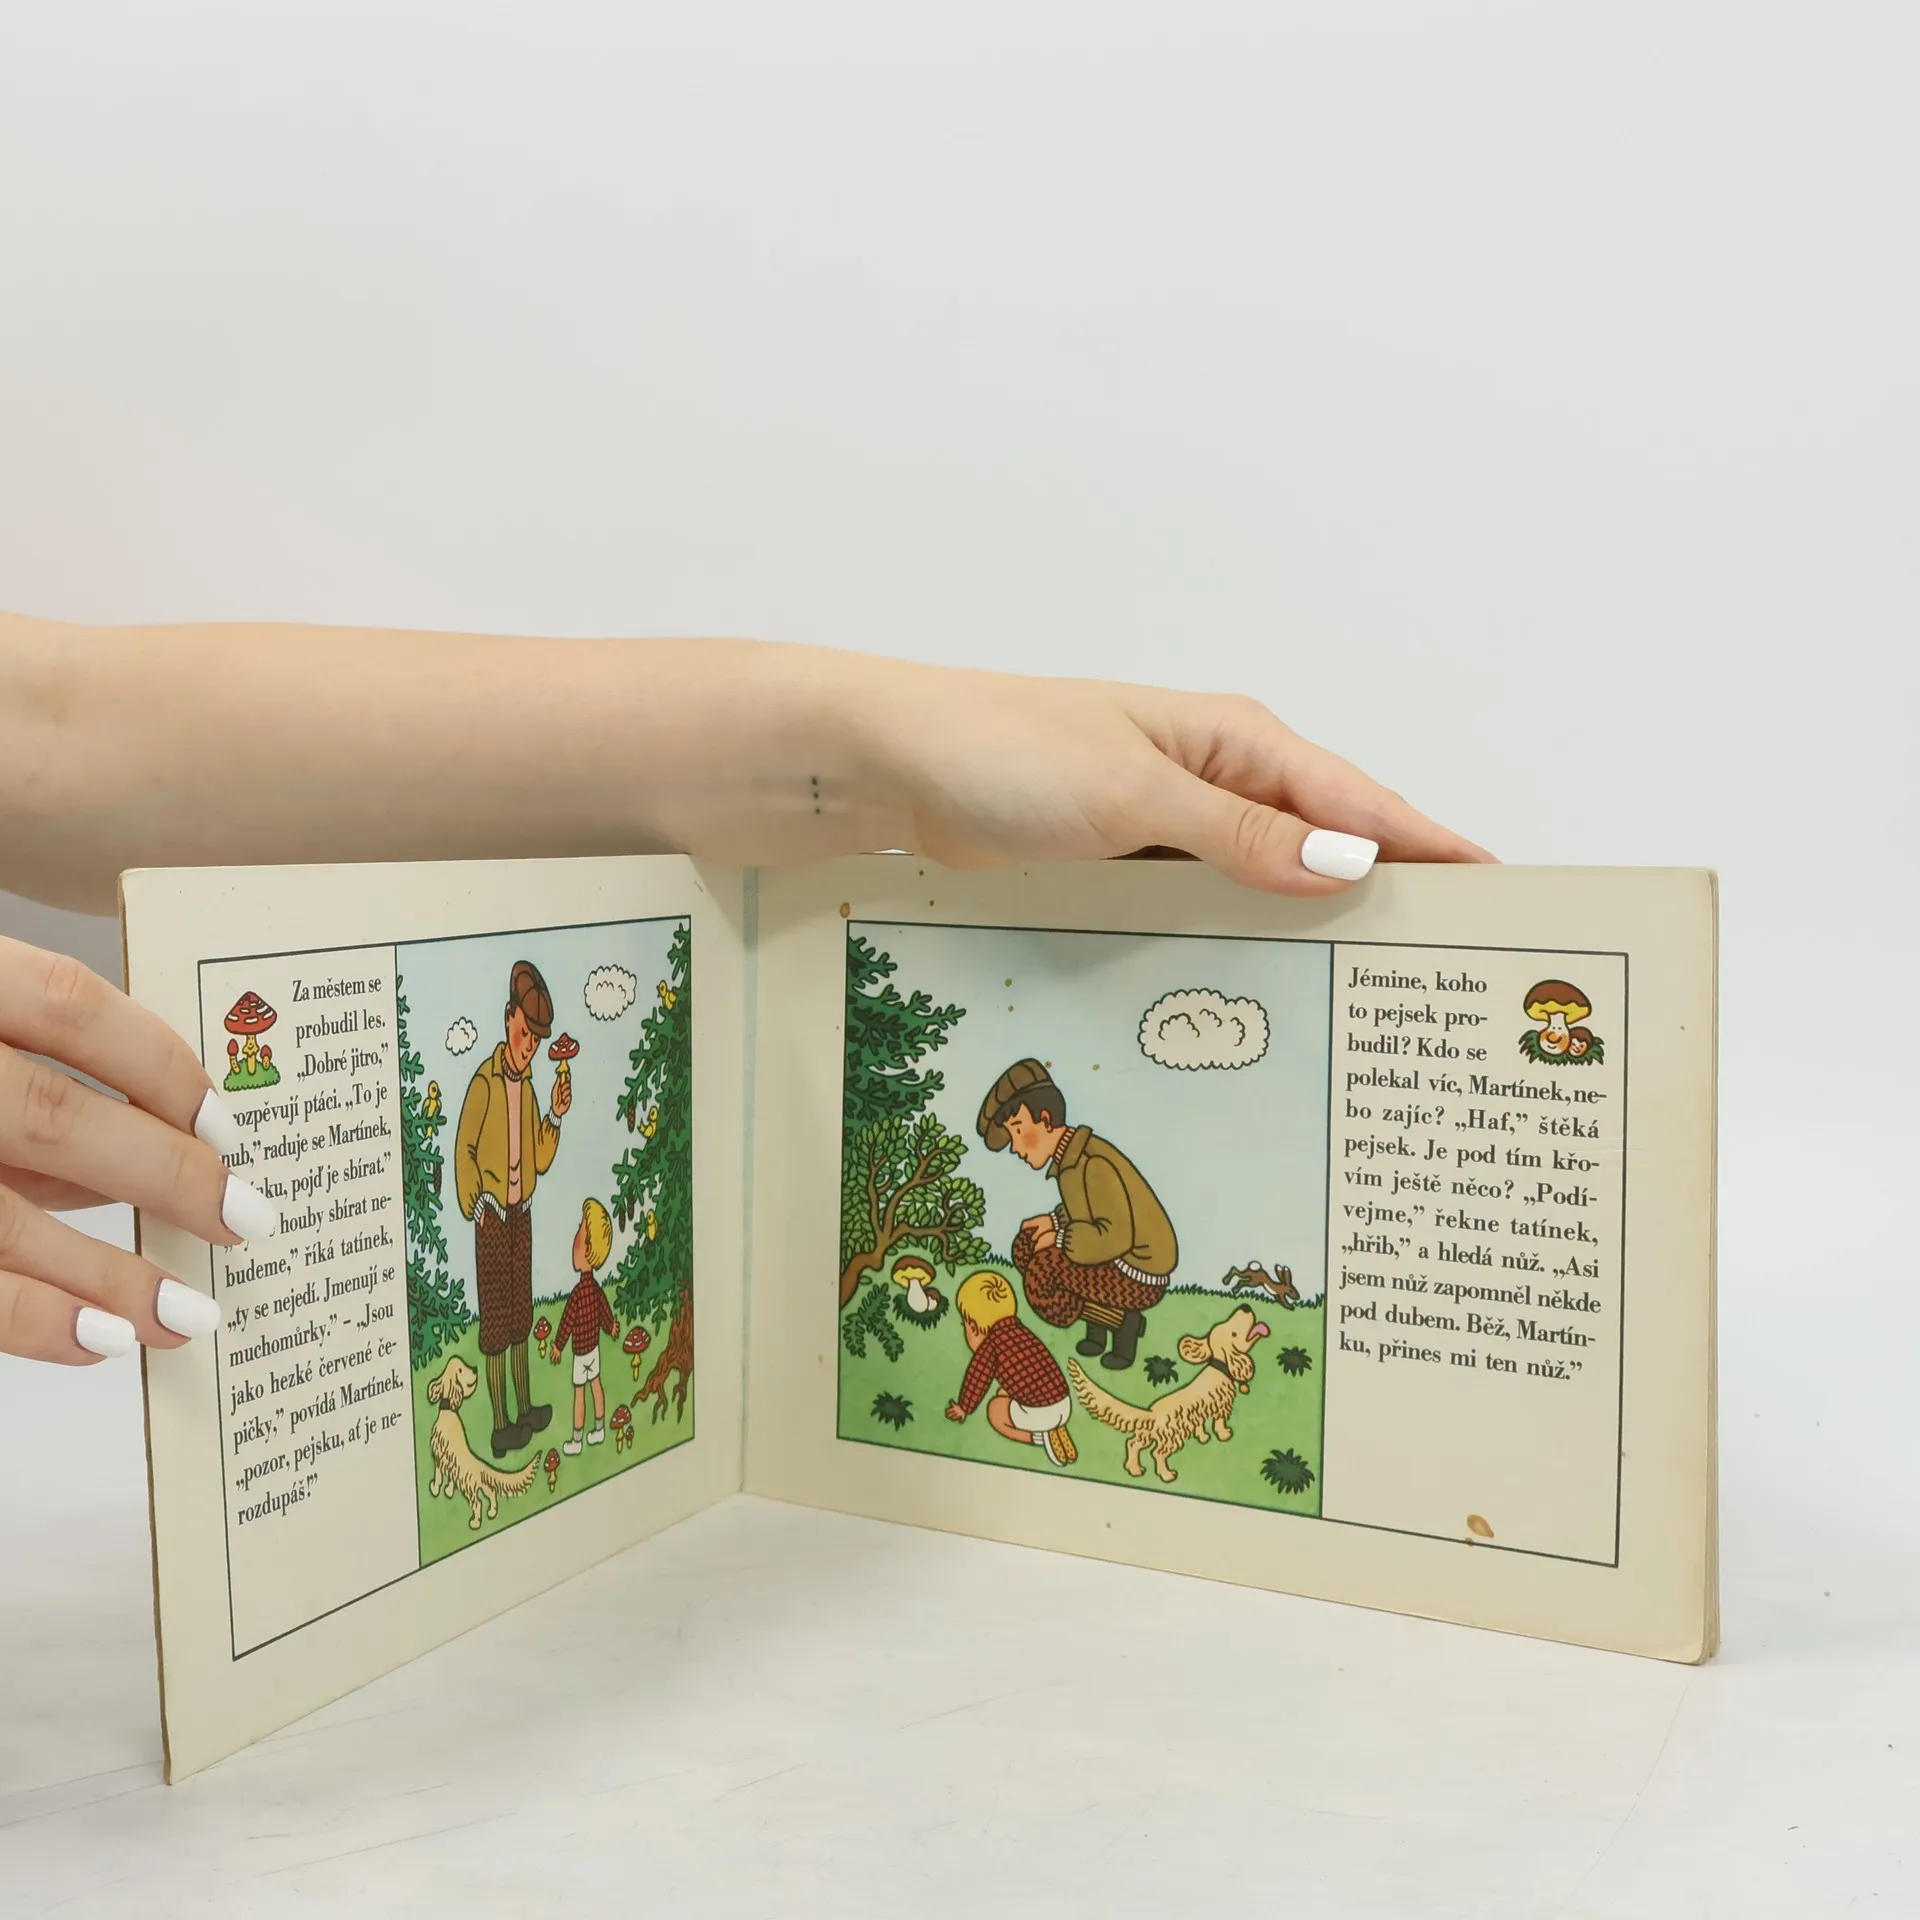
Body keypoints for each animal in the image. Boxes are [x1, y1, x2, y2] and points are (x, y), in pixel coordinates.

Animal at [426, 1355, 539, 1529]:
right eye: (460, 1370)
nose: (474, 1369)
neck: (449, 1412)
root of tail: (480, 1467)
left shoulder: (439, 1457)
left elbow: (438, 1475)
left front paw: (434, 1488)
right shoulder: (451, 1464)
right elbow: (450, 1479)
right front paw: (448, 1491)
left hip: (469, 1488)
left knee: (477, 1503)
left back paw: (475, 1522)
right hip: (481, 1486)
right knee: (491, 1493)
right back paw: (491, 1513)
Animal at [1068, 1305, 1268, 1483]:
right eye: (1233, 1333)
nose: (1245, 1306)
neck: (1220, 1367)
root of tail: (1152, 1413)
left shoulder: (1199, 1413)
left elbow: (1200, 1426)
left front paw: (1203, 1437)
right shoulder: (1221, 1406)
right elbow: (1219, 1422)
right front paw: (1224, 1434)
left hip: (1147, 1435)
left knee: (1132, 1444)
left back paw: (1134, 1469)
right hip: (1171, 1438)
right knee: (1157, 1454)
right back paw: (1166, 1475)